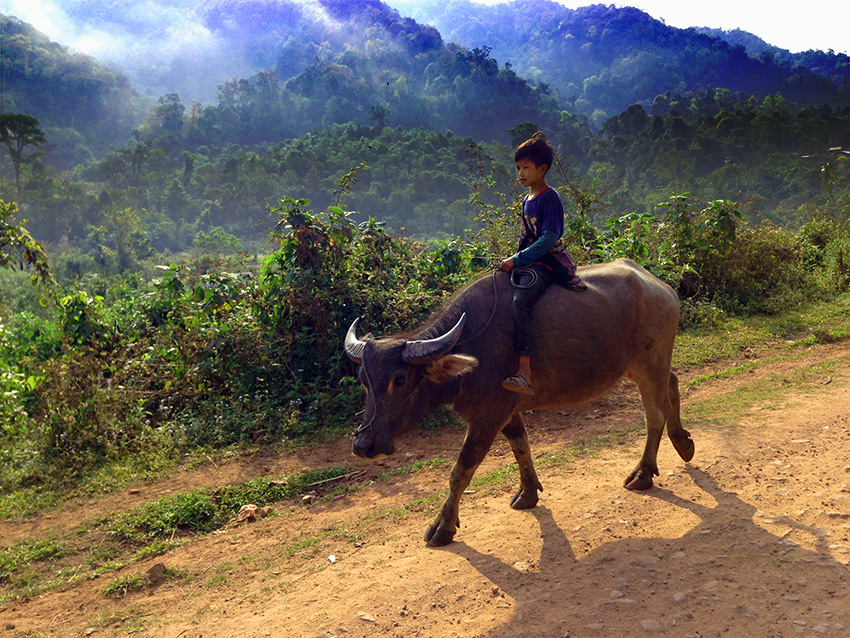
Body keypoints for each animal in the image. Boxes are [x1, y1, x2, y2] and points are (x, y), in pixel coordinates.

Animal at [342, 258, 692, 548]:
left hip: (649, 364)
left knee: (654, 416)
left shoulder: (488, 415)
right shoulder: (507, 411)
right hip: (647, 366)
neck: (471, 344)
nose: (363, 444)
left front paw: (443, 526)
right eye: (364, 380)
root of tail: (662, 288)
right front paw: (528, 492)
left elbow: (461, 470)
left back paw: (643, 473)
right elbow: (520, 446)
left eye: (399, 379)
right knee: (673, 384)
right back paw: (683, 443)